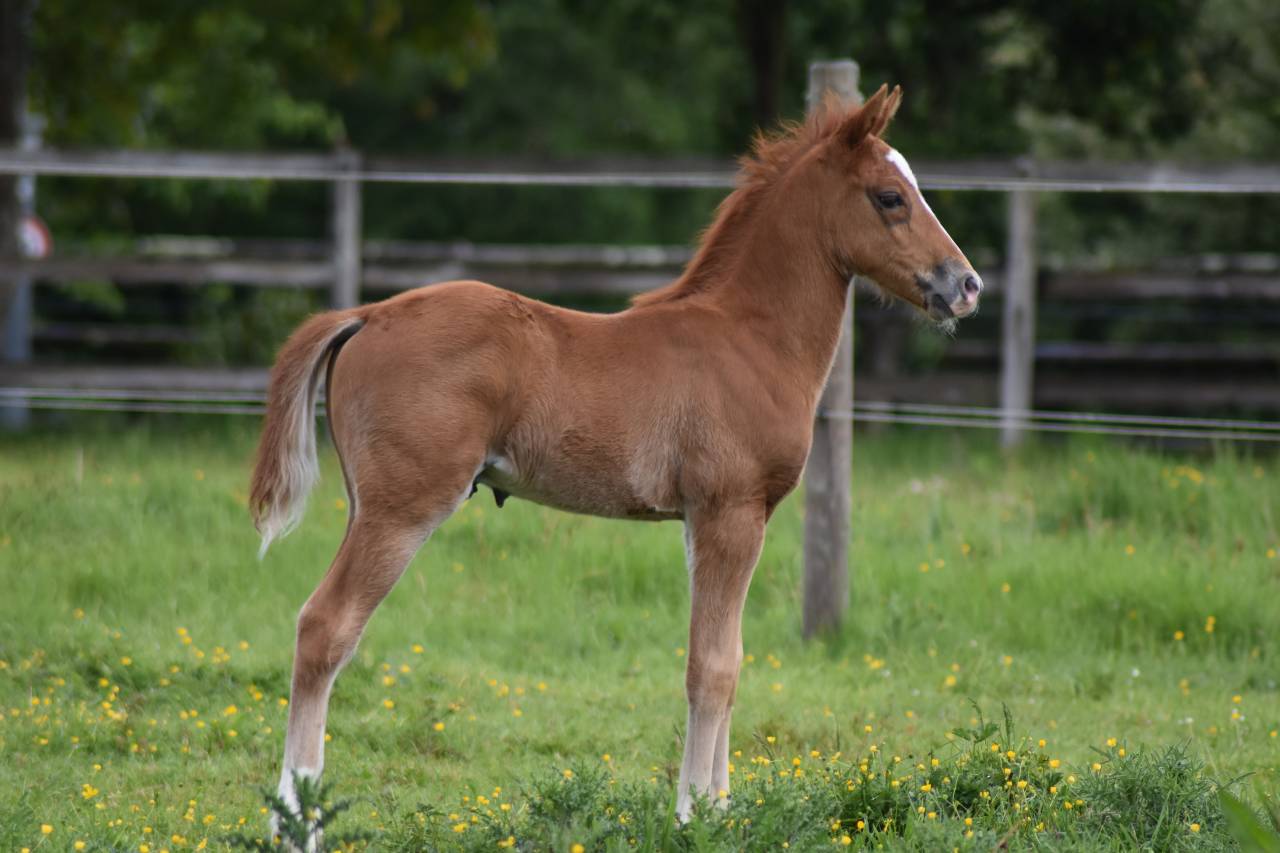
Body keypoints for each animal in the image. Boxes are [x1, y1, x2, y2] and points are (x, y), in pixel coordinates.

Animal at [249, 83, 981, 838]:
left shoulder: (705, 521)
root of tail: (367, 314)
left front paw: (721, 809)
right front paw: (693, 815)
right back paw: (296, 823)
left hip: (365, 505)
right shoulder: (731, 512)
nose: (966, 285)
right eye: (890, 197)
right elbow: (711, 666)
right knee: (324, 627)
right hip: (402, 508)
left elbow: (731, 659)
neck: (748, 339)